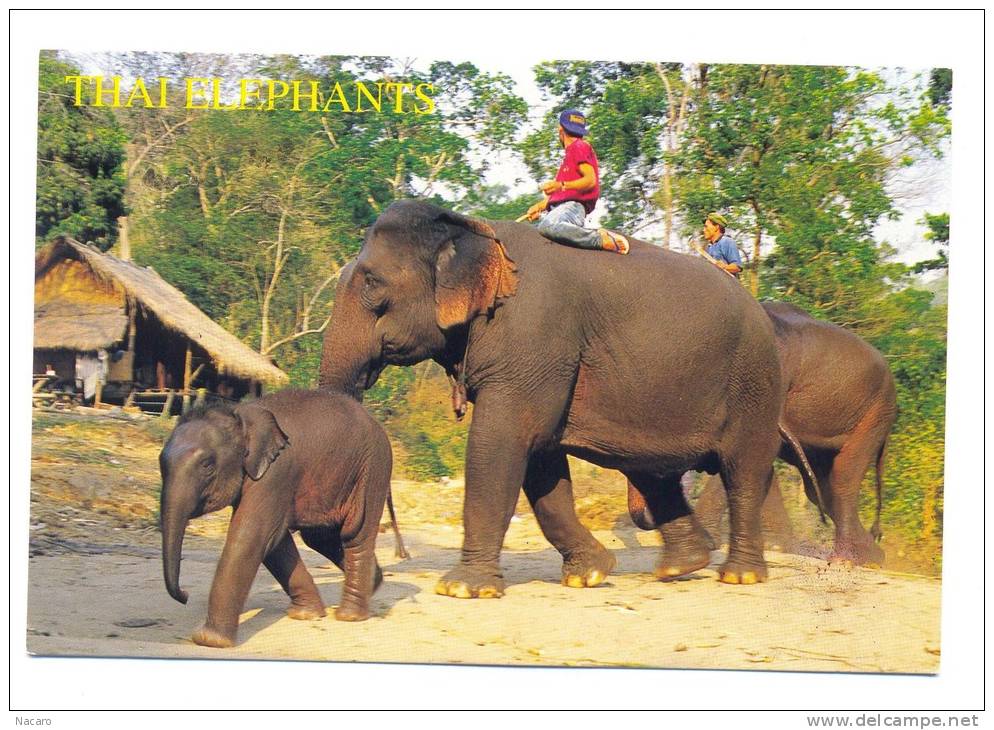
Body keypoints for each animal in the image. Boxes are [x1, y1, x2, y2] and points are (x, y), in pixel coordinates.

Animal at [159, 390, 400, 644]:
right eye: (160, 465)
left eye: (207, 465)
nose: (185, 594)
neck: (238, 414)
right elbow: (275, 543)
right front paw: (305, 615)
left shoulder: (276, 472)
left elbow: (250, 535)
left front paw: (210, 641)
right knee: (320, 538)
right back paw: (374, 583)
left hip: (373, 469)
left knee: (354, 534)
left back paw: (350, 616)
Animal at [322, 199, 788, 596]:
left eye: (372, 284)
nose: (393, 563)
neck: (471, 226)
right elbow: (540, 457)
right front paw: (591, 574)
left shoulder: (534, 336)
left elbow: (504, 440)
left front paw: (461, 589)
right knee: (650, 470)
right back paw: (680, 567)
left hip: (755, 380)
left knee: (743, 469)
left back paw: (739, 576)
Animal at [688, 302, 892, 564]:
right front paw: (774, 546)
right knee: (820, 489)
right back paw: (872, 556)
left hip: (876, 414)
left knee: (843, 477)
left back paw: (852, 559)